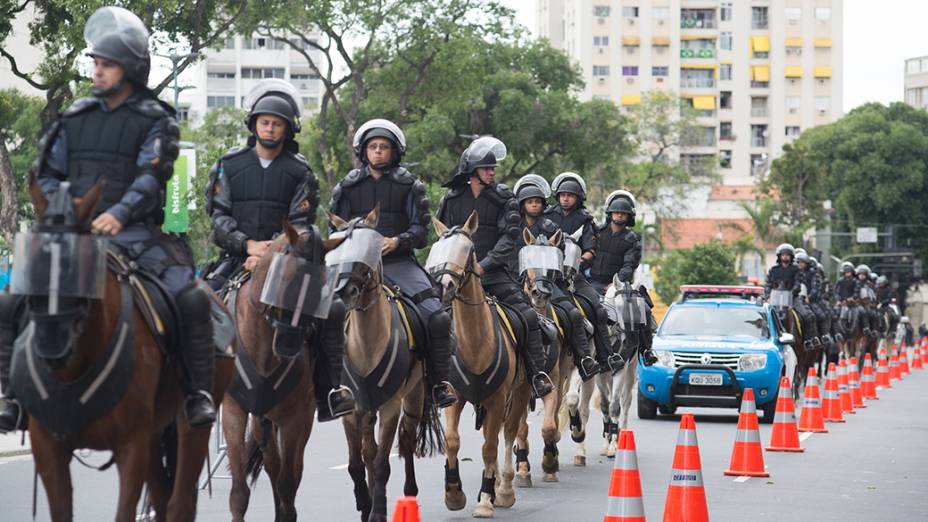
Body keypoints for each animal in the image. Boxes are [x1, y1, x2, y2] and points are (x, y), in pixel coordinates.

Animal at [21, 177, 234, 516]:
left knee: (178, 502)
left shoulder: (131, 445)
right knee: (162, 497)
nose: (51, 343)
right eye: (32, 260)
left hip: (191, 427)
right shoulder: (48, 447)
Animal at [221, 219, 340, 520]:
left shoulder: (297, 418)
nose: (288, 343)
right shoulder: (234, 411)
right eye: (283, 279)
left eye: (321, 284)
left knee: (289, 473)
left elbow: (288, 484)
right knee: (273, 466)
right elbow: (239, 493)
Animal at [330, 207, 438, 520]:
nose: (345, 292)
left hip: (414, 396)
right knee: (370, 450)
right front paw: (364, 505)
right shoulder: (352, 408)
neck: (367, 343)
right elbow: (357, 463)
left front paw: (377, 511)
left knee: (406, 439)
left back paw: (410, 493)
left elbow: (381, 463)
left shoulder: (391, 405)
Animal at [430, 211, 524, 516]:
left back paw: (503, 490)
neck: (475, 342)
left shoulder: (497, 399)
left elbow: (490, 448)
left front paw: (484, 500)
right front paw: (454, 493)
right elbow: (452, 441)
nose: (444, 285)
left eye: (467, 249)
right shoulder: (454, 397)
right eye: (437, 248)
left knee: (508, 434)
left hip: (518, 394)